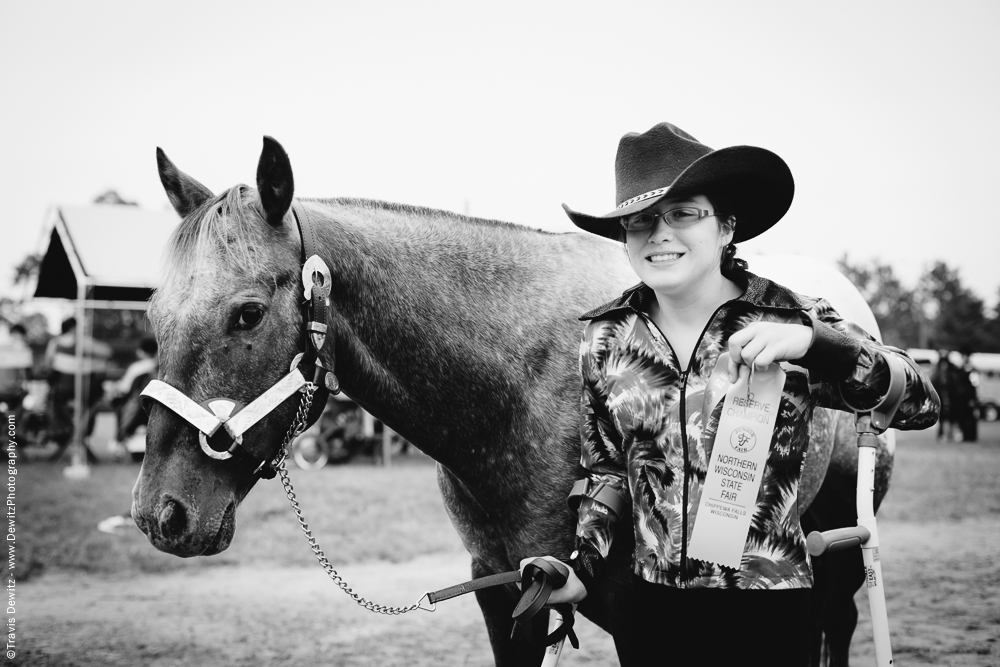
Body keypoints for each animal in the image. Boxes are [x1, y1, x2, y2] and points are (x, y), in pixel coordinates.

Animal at [131, 137, 892, 667]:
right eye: (154, 312)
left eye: (248, 313)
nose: (158, 512)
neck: (514, 392)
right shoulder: (507, 590)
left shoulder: (629, 610)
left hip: (837, 545)